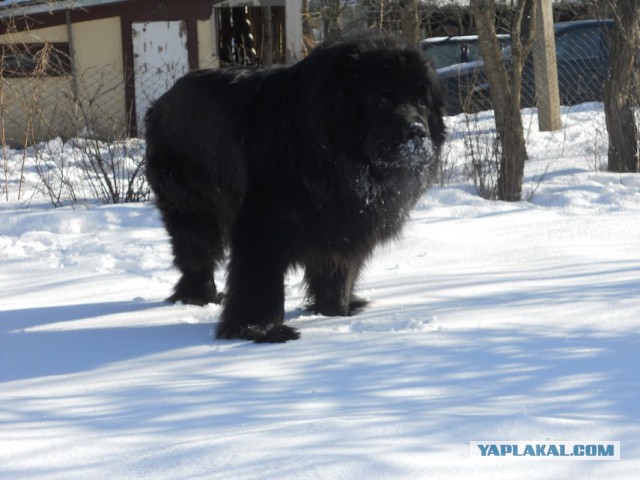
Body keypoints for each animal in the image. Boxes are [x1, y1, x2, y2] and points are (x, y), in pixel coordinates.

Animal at [144, 34, 444, 342]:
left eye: (422, 102)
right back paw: (199, 297)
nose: (417, 131)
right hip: (193, 207)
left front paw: (334, 312)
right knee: (196, 253)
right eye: (383, 98)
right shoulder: (263, 224)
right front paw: (260, 330)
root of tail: (163, 101)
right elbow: (261, 282)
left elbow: (337, 273)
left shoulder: (343, 225)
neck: (335, 162)